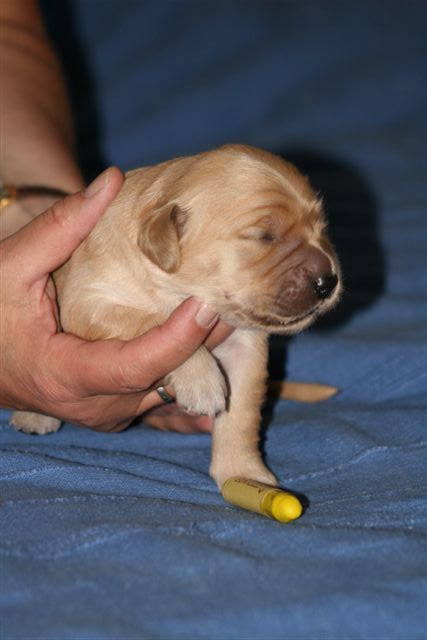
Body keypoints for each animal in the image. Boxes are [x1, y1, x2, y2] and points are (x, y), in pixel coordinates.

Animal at [11, 145, 341, 489]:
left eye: (322, 227)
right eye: (265, 236)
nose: (329, 282)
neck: (178, 289)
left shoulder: (245, 347)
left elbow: (242, 413)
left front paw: (243, 473)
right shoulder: (87, 304)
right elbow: (151, 322)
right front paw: (201, 378)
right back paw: (34, 415)